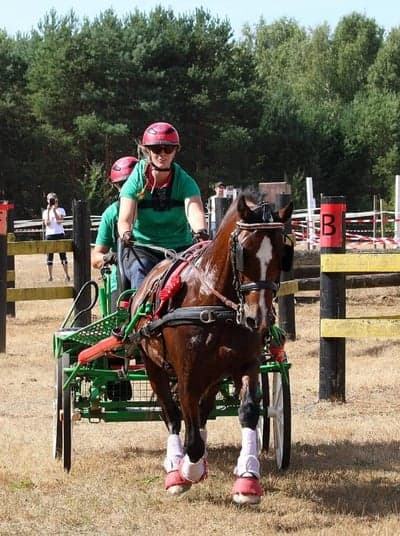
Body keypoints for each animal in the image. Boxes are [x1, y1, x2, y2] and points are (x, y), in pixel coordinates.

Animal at [129, 194, 294, 506]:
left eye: (283, 251)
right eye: (244, 252)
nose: (259, 318)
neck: (213, 303)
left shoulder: (246, 364)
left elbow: (249, 411)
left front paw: (248, 478)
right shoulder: (186, 376)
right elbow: (188, 431)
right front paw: (187, 470)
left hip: (215, 374)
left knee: (203, 411)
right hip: (153, 365)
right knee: (172, 415)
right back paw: (175, 466)